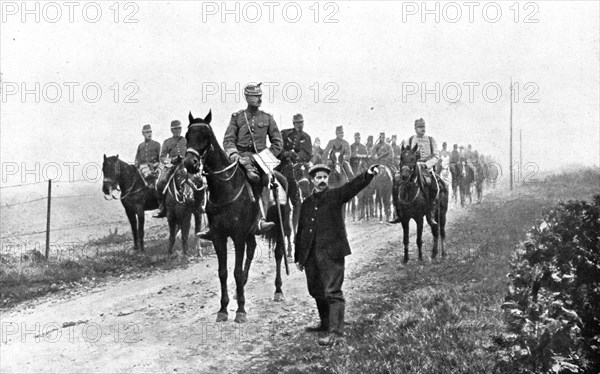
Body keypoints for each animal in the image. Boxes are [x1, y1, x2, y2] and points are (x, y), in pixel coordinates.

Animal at [182, 109, 288, 322]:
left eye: (206, 136)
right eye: (187, 135)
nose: (190, 163)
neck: (226, 187)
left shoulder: (238, 236)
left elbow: (236, 272)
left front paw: (240, 310)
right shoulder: (218, 236)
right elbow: (223, 272)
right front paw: (223, 309)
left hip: (280, 225)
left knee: (279, 253)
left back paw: (278, 291)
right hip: (251, 232)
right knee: (253, 249)